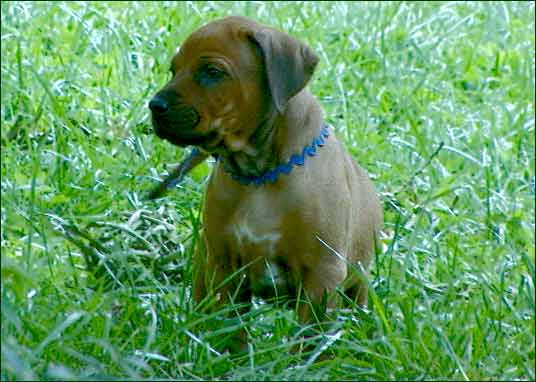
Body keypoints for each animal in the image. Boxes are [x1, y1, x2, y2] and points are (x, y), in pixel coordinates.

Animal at [149, 17, 384, 332]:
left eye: (212, 72)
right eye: (174, 70)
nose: (154, 105)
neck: (259, 176)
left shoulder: (322, 275)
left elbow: (308, 338)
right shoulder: (224, 266)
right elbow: (229, 330)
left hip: (357, 287)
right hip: (205, 265)